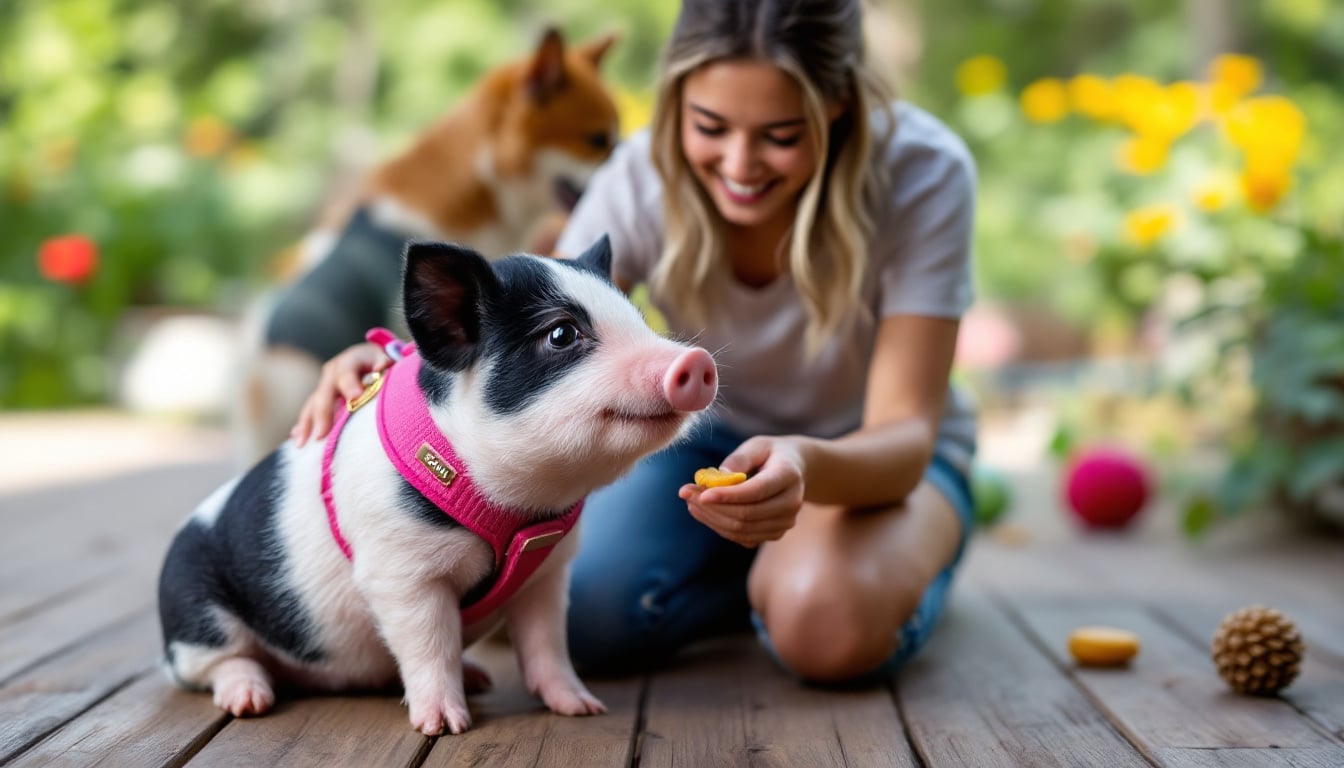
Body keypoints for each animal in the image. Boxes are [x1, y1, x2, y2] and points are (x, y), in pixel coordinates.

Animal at [158, 238, 720, 737]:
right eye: (561, 334)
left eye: (638, 317)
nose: (697, 361)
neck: (519, 503)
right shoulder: (400, 572)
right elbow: (430, 645)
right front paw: (445, 726)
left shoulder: (547, 572)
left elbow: (547, 644)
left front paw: (582, 708)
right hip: (195, 611)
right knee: (217, 665)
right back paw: (250, 701)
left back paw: (480, 678)